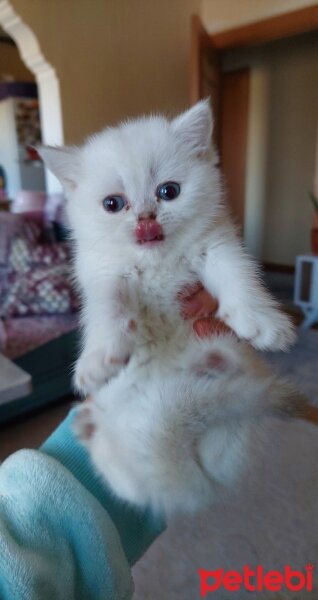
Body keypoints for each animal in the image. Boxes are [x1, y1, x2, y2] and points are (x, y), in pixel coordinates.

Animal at [38, 99, 300, 516]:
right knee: (133, 484)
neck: (157, 263)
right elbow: (107, 309)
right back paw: (89, 425)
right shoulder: (103, 274)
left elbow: (237, 273)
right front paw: (99, 359)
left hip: (234, 429)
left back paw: (216, 362)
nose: (146, 219)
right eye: (113, 204)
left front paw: (262, 319)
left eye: (169, 191)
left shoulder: (217, 243)